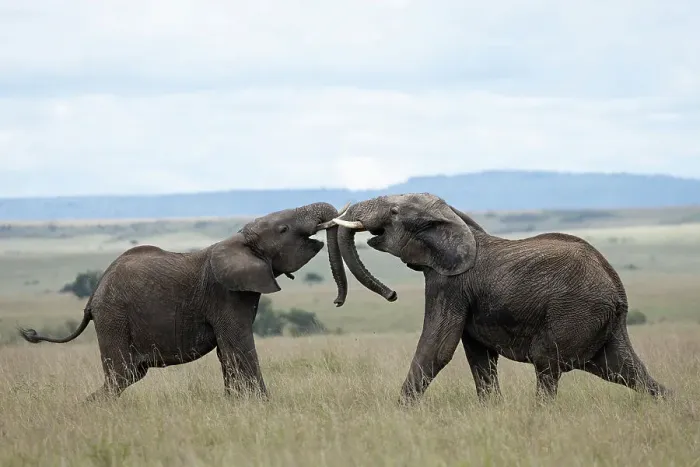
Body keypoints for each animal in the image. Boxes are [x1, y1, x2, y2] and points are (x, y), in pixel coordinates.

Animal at [18, 202, 350, 401]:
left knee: (129, 375)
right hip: (113, 316)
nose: (337, 301)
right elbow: (240, 347)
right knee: (121, 376)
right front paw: (263, 405)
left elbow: (227, 353)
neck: (239, 241)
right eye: (283, 229)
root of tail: (92, 297)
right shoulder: (225, 295)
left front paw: (236, 405)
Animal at [329, 193, 671, 404]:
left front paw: (400, 412)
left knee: (547, 365)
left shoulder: (450, 284)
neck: (454, 219)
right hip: (600, 325)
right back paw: (672, 405)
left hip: (575, 313)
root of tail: (617, 291)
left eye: (394, 212)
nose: (391, 294)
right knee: (625, 371)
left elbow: (437, 348)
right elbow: (479, 357)